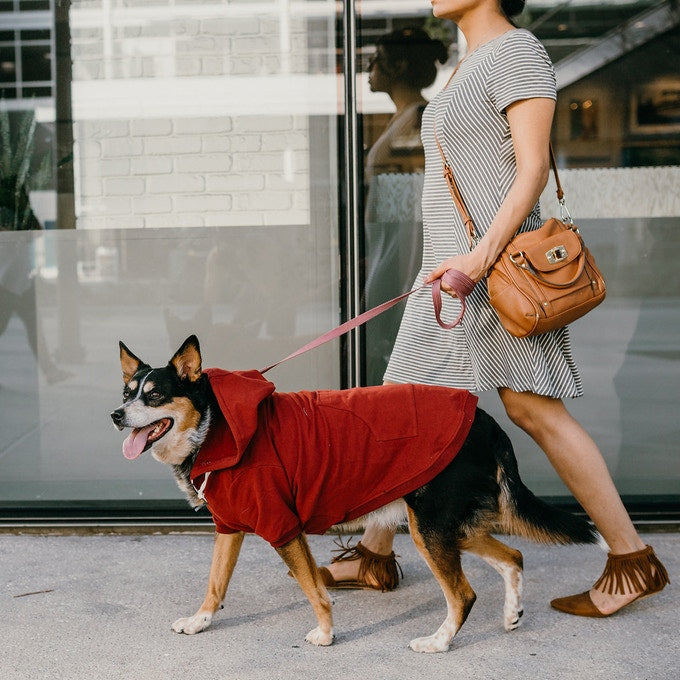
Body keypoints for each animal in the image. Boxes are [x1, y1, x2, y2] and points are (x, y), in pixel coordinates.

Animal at [113, 334, 600, 652]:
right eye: (126, 391)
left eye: (154, 396)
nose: (116, 414)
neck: (216, 428)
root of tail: (487, 421)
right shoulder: (230, 527)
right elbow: (216, 583)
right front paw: (200, 622)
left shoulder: (282, 527)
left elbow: (313, 590)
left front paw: (326, 634)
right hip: (447, 526)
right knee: (512, 557)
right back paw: (511, 613)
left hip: (430, 528)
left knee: (462, 595)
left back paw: (438, 642)